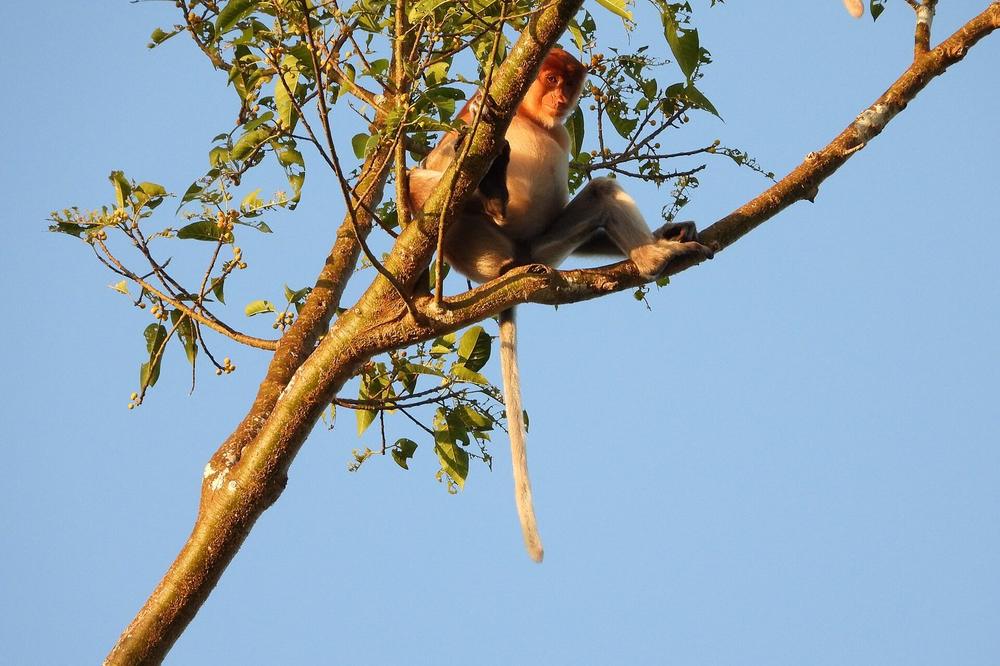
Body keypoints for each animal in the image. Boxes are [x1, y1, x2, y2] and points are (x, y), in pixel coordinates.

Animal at [409, 48, 712, 562]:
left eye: (569, 84)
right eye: (550, 78)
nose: (558, 98)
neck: (533, 118)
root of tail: (510, 260)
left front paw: (670, 231)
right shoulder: (479, 108)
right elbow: (443, 153)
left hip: (542, 248)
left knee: (602, 192)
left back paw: (652, 251)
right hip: (476, 243)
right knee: (422, 181)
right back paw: (495, 199)